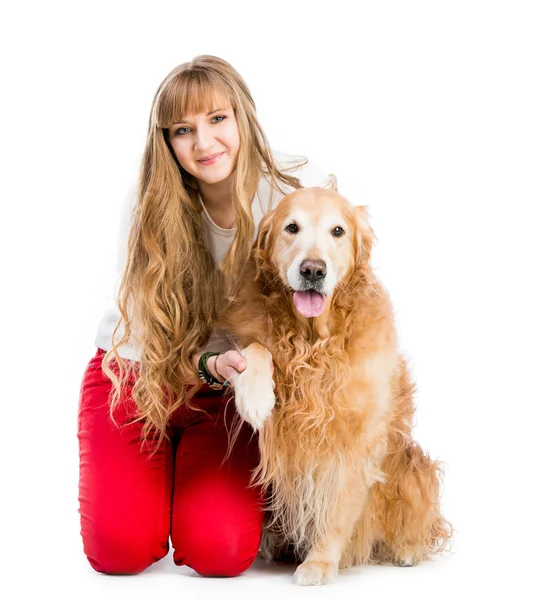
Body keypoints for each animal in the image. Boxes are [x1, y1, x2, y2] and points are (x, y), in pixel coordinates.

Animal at [218, 189, 452, 584]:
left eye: (338, 231)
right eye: (291, 227)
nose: (313, 270)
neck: (312, 342)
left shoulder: (356, 436)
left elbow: (339, 506)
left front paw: (321, 562)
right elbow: (256, 349)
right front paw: (255, 395)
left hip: (412, 463)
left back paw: (407, 550)